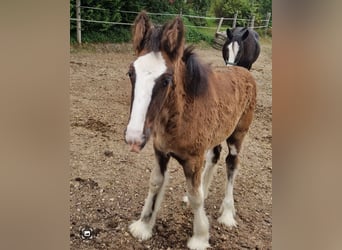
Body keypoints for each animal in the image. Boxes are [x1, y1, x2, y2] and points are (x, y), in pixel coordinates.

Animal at [124, 11, 255, 250]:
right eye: (131, 73)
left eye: (166, 79)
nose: (134, 138)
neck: (179, 118)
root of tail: (242, 71)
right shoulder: (161, 152)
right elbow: (156, 182)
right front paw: (143, 226)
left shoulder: (193, 159)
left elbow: (196, 197)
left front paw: (200, 237)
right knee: (215, 156)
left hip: (237, 135)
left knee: (232, 164)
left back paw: (227, 214)